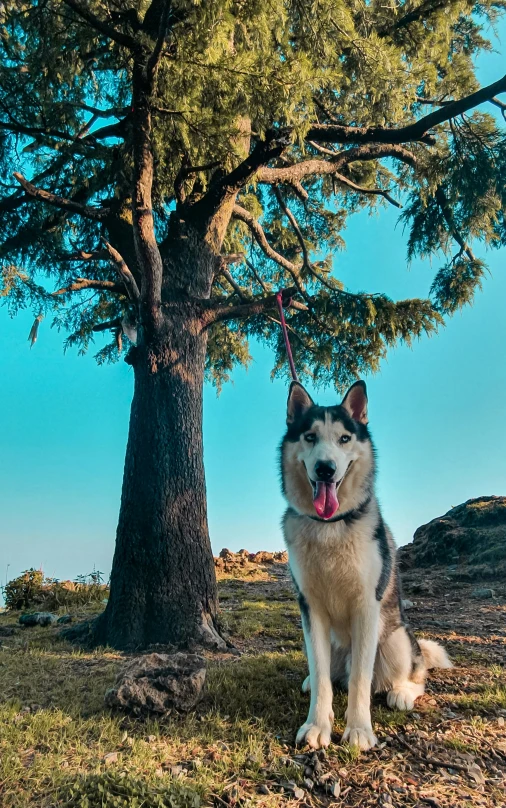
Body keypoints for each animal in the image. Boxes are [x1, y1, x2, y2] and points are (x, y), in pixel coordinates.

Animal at [280, 378, 450, 752]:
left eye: (344, 438)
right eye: (310, 436)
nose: (325, 468)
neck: (329, 527)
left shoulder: (365, 607)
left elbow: (361, 678)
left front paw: (358, 730)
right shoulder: (310, 608)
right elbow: (322, 678)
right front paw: (317, 725)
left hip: (395, 639)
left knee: (413, 674)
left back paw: (402, 691)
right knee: (328, 675)